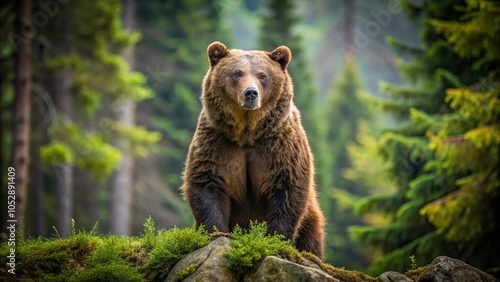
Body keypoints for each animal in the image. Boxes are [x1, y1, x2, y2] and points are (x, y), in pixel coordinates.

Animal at [182, 40, 326, 258]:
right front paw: (216, 232)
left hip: (311, 221)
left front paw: (276, 238)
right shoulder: (217, 143)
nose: (251, 93)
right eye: (237, 73)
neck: (247, 132)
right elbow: (208, 183)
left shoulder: (279, 148)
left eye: (262, 75)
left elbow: (287, 187)